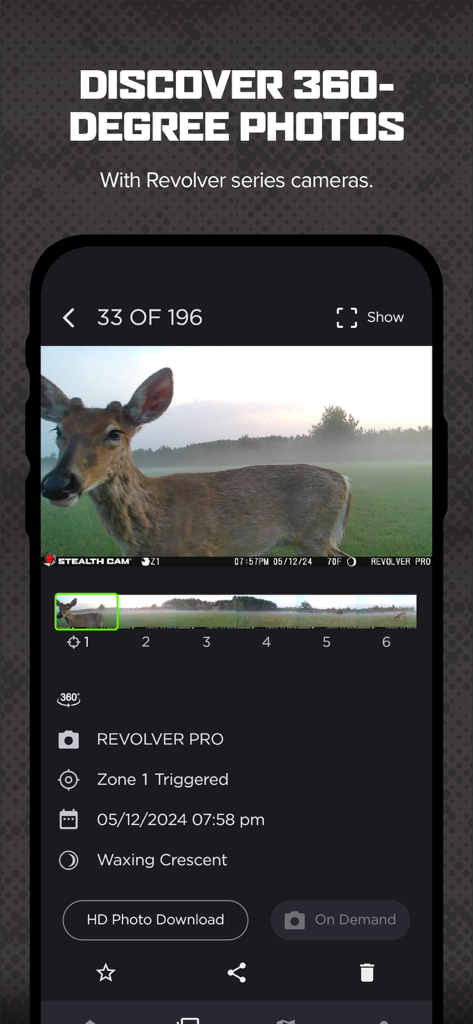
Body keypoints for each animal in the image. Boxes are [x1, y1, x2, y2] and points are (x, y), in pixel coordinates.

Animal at [41, 368, 352, 558]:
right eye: (58, 430)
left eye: (114, 432)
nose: (56, 483)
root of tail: (344, 481)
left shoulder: (201, 548)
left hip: (314, 534)